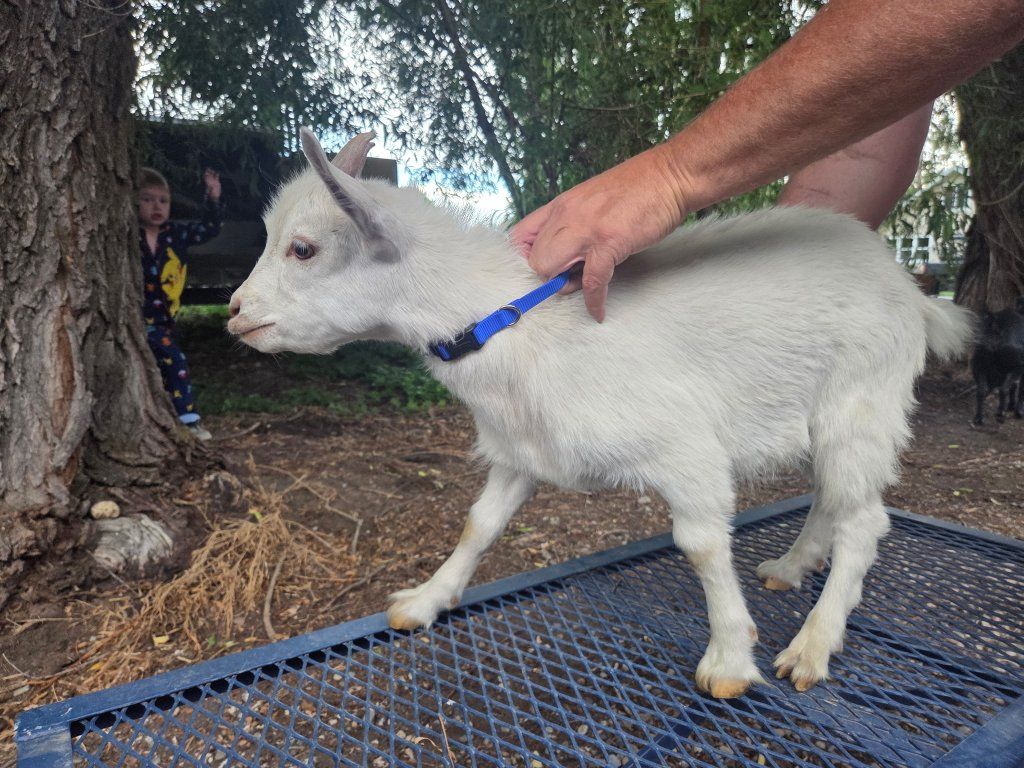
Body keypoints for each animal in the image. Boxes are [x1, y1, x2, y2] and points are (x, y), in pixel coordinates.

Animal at [228, 130, 973, 698]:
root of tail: (911, 288)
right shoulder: (518, 450)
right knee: (833, 499)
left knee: (865, 520)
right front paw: (426, 600)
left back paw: (814, 643)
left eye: (302, 248)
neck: (516, 324)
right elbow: (480, 523)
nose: (235, 312)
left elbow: (702, 546)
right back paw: (792, 567)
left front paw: (730, 659)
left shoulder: (684, 450)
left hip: (861, 399)